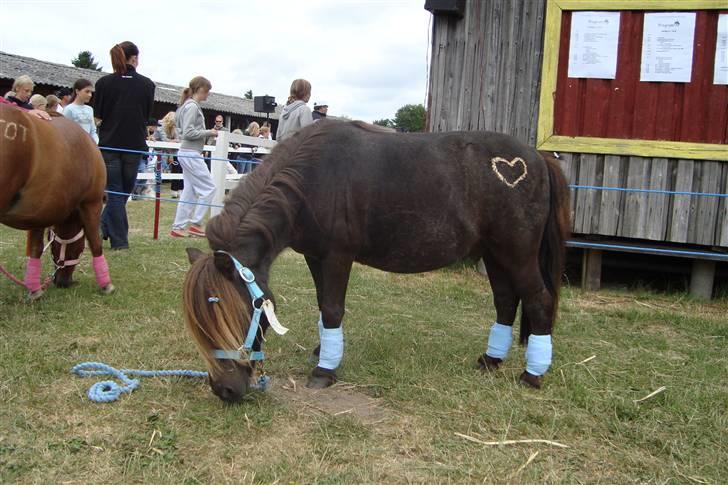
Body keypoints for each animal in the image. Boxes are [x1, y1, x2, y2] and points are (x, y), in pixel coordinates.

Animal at [0, 103, 114, 298]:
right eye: (80, 248)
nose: (61, 281)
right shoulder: (92, 203)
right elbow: (96, 242)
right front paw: (106, 284)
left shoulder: (38, 211)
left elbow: (36, 248)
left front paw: (34, 289)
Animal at [182, 121, 570, 403]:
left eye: (229, 311)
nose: (225, 390)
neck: (312, 176)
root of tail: (537, 158)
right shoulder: (315, 256)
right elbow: (323, 305)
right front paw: (323, 351)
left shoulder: (337, 256)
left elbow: (333, 309)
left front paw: (324, 370)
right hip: (495, 254)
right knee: (505, 301)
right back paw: (490, 361)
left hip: (517, 253)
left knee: (538, 300)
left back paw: (532, 374)